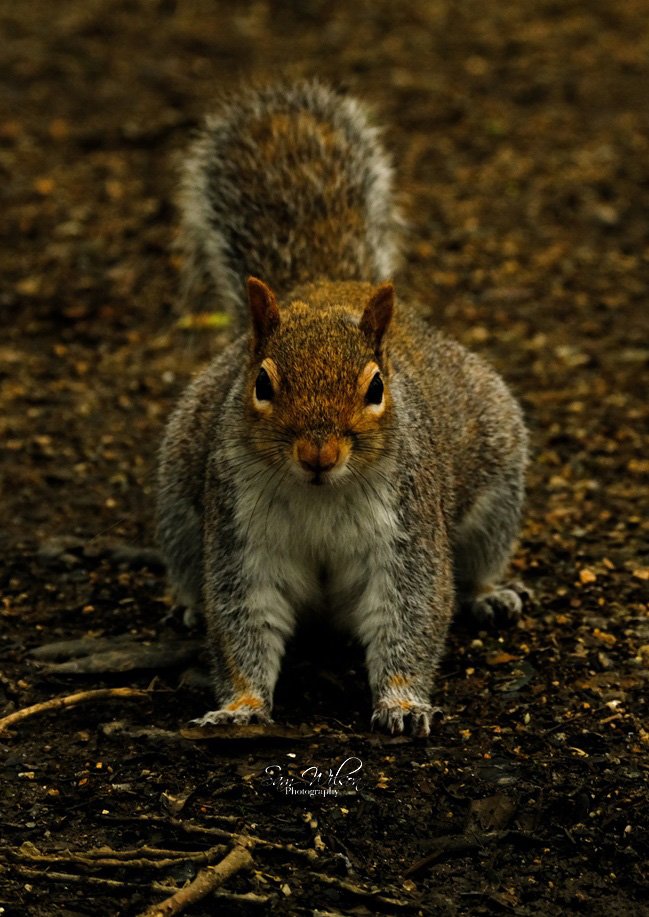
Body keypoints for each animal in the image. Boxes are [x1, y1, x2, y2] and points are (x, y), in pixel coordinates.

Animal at [156, 78, 528, 736]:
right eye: (261, 384)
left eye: (376, 388)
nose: (319, 453)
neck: (321, 495)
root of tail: (328, 286)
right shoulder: (240, 536)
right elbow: (241, 618)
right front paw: (241, 706)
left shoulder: (407, 533)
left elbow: (411, 612)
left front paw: (402, 703)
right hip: (179, 500)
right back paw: (186, 605)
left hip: (497, 484)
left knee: (479, 561)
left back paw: (489, 593)